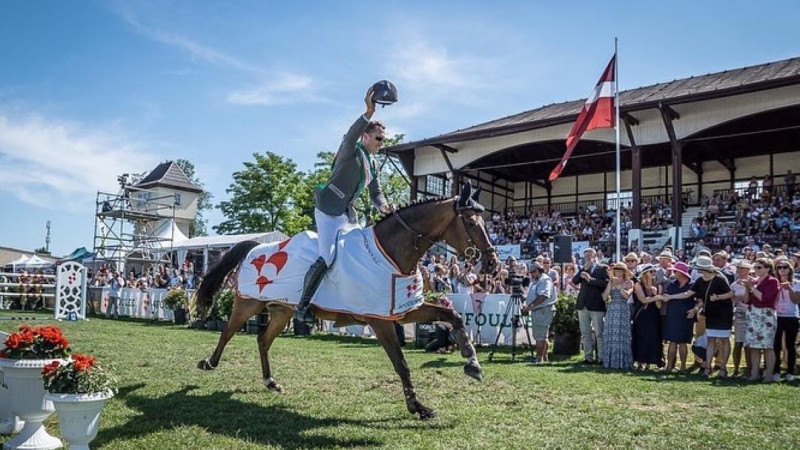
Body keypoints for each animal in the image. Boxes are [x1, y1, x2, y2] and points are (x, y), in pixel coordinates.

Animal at [195, 181, 494, 420]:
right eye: (470, 223)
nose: (491, 262)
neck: (392, 253)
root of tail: (255, 247)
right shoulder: (380, 320)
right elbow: (401, 364)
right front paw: (417, 407)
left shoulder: (404, 311)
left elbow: (452, 315)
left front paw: (472, 362)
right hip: (249, 303)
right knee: (228, 331)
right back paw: (209, 363)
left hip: (281, 311)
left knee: (262, 339)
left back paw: (271, 382)